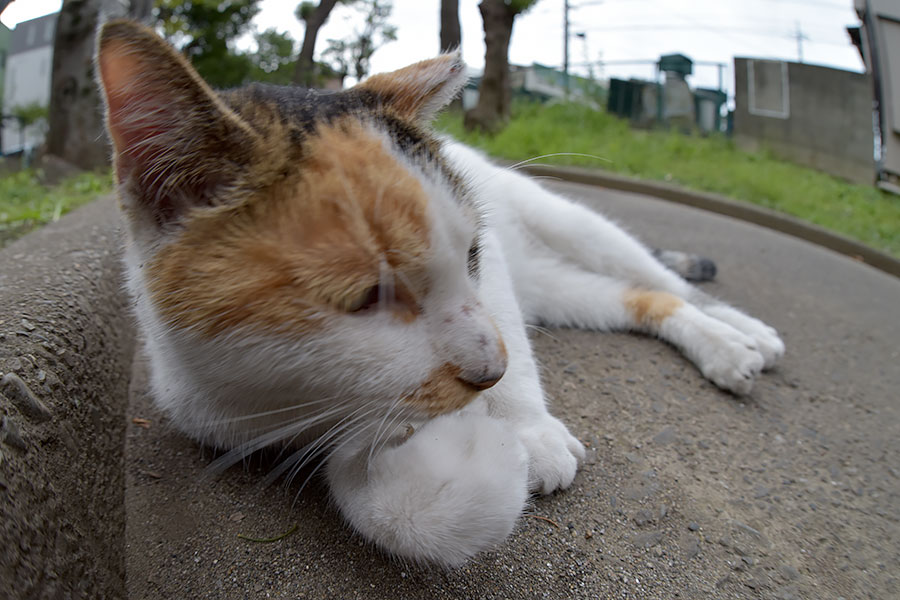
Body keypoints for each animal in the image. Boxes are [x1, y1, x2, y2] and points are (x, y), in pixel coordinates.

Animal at [96, 19, 780, 568]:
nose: (488, 371)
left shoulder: (492, 275)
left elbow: (510, 347)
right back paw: (725, 349)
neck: (283, 399)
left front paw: (526, 431)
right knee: (639, 300)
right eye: (368, 296)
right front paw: (479, 460)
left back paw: (744, 335)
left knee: (665, 281)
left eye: (470, 255)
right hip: (560, 290)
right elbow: (379, 493)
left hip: (569, 225)